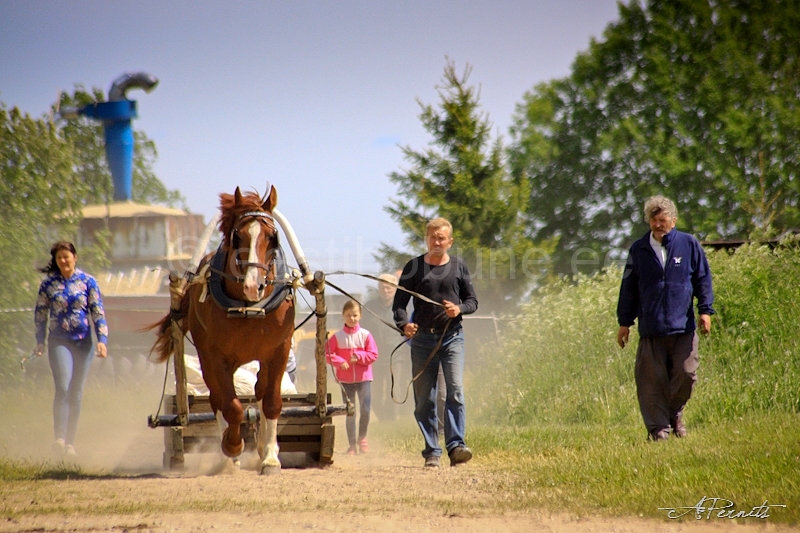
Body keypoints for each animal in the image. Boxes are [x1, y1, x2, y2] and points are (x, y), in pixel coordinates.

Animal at [149, 185, 295, 474]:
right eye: (237, 236)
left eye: (272, 237)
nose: (253, 286)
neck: (248, 308)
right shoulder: (217, 357)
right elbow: (232, 406)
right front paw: (233, 446)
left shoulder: (279, 351)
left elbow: (271, 401)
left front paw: (271, 456)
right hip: (209, 359)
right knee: (218, 400)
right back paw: (230, 453)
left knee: (260, 391)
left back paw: (261, 447)